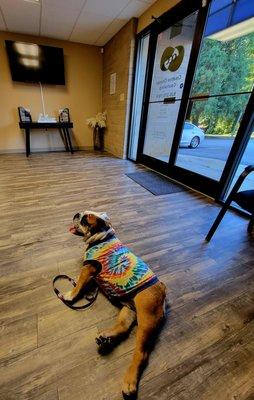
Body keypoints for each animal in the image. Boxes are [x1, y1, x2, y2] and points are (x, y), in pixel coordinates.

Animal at [66, 211, 167, 398]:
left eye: (85, 220)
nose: (77, 213)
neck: (101, 238)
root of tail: (162, 288)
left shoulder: (88, 269)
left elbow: (80, 284)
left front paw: (71, 295)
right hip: (128, 310)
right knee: (123, 326)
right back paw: (106, 336)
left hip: (146, 320)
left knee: (141, 354)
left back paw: (129, 382)